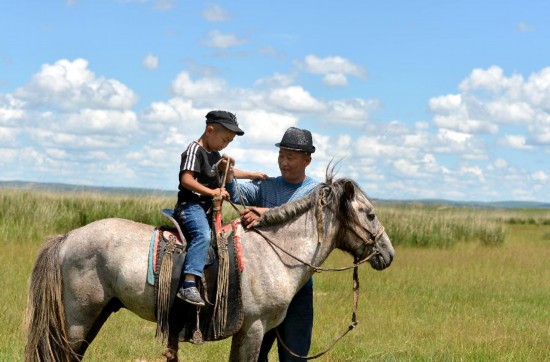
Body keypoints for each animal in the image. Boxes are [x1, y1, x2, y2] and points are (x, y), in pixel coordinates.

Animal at [24, 174, 396, 360]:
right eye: (370, 214)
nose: (388, 254)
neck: (274, 253)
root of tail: (68, 237)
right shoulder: (254, 328)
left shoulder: (257, 332)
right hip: (78, 317)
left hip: (96, 313)